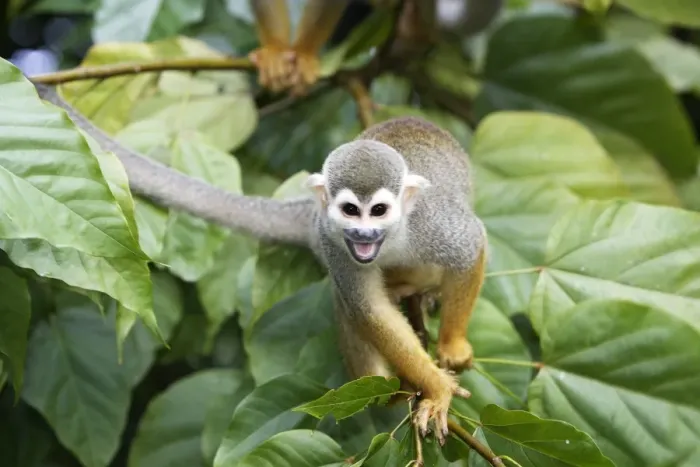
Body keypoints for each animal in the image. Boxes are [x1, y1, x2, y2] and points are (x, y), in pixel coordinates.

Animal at [35, 84, 486, 444]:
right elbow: (369, 310)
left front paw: (452, 348)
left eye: (378, 211)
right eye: (350, 211)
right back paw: (386, 385)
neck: (391, 240)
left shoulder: (431, 224)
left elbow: (472, 249)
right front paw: (432, 386)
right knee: (349, 302)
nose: (363, 234)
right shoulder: (333, 241)